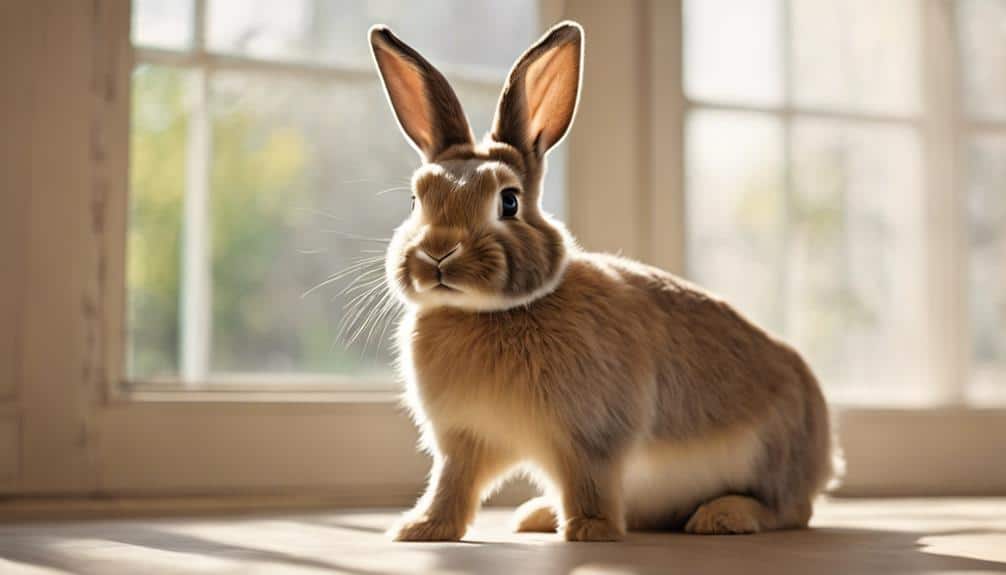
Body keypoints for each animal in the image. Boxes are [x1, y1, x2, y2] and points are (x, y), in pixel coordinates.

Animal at [369, 20, 840, 542]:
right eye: (417, 200)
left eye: (508, 201)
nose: (437, 254)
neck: (490, 312)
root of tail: (826, 455)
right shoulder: (465, 440)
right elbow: (452, 484)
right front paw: (421, 529)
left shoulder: (591, 438)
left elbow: (589, 481)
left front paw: (590, 532)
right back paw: (537, 515)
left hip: (773, 456)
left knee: (789, 509)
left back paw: (723, 516)